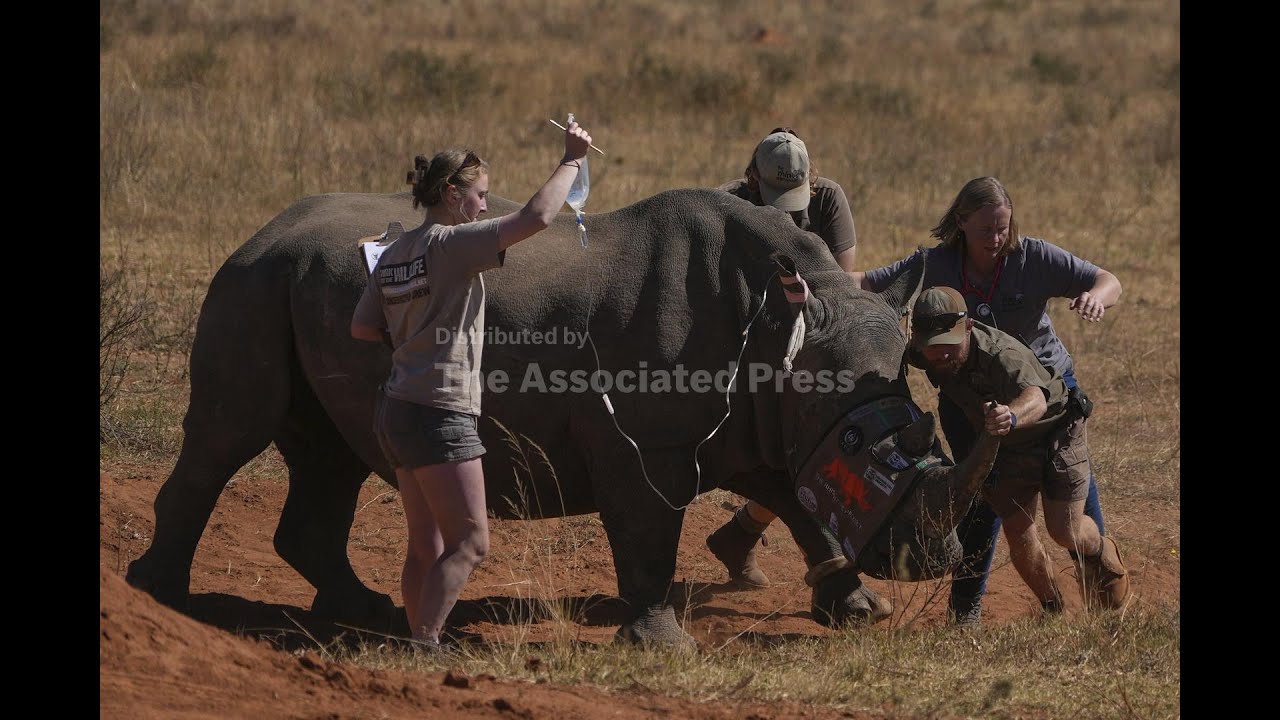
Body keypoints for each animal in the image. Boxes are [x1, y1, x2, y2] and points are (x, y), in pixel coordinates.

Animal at [126, 187, 998, 647]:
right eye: (863, 442)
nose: (931, 562)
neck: (785, 328)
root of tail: (262, 229)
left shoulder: (771, 419)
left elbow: (805, 505)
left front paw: (858, 611)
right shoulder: (651, 441)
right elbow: (649, 529)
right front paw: (662, 645)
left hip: (297, 284)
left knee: (330, 454)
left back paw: (360, 613)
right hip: (252, 280)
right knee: (229, 435)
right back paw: (161, 598)